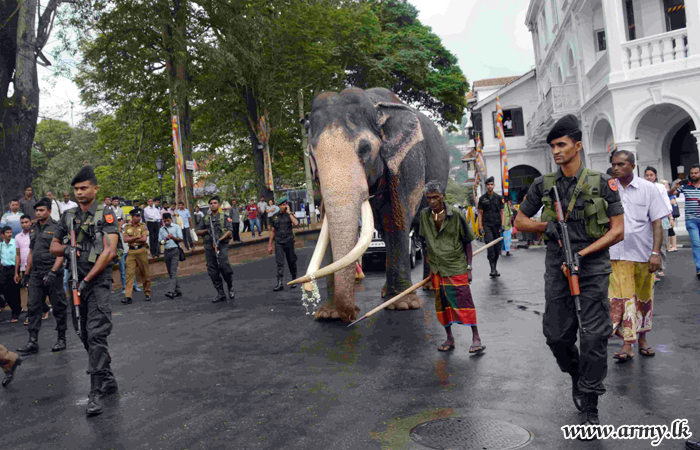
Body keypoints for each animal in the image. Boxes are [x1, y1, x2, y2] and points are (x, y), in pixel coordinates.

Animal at [292, 86, 452, 322]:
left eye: (365, 149)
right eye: (313, 155)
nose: (352, 315)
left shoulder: (407, 160)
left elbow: (397, 218)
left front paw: (402, 305)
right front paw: (329, 315)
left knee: (423, 234)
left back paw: (429, 287)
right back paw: (388, 291)